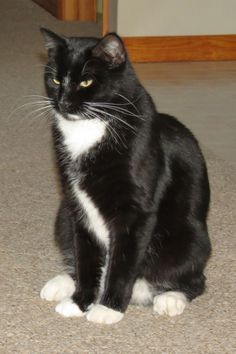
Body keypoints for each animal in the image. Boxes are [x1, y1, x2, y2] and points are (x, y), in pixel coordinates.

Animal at [39, 29, 212, 324]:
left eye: (86, 81)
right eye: (56, 79)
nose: (63, 102)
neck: (91, 127)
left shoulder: (136, 212)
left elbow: (122, 263)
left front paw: (108, 308)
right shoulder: (77, 205)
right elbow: (86, 255)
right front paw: (79, 302)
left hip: (189, 238)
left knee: (195, 278)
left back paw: (169, 297)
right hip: (62, 218)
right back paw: (62, 283)